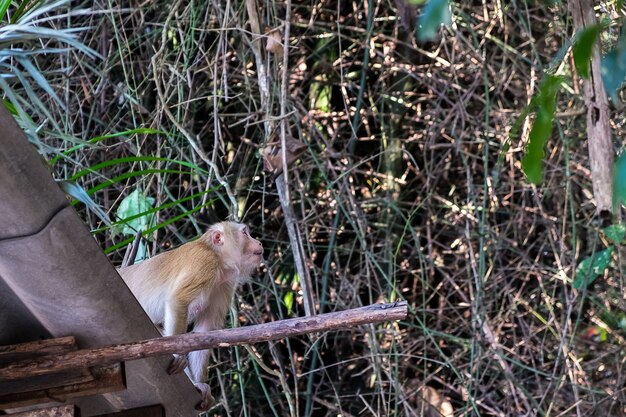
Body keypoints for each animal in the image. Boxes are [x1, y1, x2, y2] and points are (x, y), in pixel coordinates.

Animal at [118, 221, 262, 410]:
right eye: (245, 233)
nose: (259, 242)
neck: (218, 258)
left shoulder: (224, 285)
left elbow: (204, 331)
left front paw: (199, 384)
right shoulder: (204, 263)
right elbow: (178, 301)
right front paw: (179, 357)